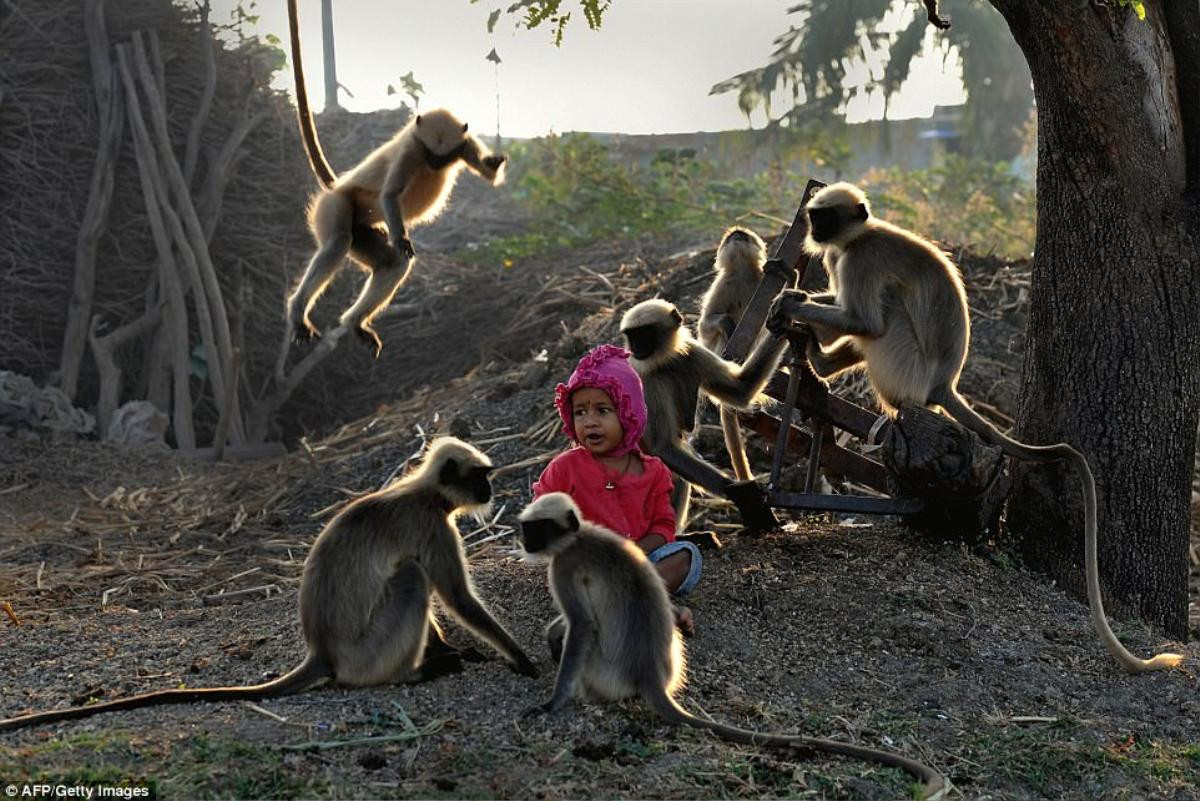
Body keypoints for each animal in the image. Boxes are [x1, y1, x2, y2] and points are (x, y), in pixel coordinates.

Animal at [0, 438, 537, 733]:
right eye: (481, 477)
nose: (490, 490)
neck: (424, 491)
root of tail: (322, 650)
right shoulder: (433, 527)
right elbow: (457, 598)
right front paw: (521, 658)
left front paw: (452, 647)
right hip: (366, 652)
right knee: (411, 577)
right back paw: (413, 673)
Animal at [285, 0, 506, 357]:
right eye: (430, 154)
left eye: (442, 157)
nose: (435, 163)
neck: (430, 152)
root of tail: (335, 185)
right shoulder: (412, 149)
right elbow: (390, 195)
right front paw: (402, 237)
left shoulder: (462, 144)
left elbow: (488, 174)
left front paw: (494, 164)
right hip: (336, 204)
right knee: (337, 242)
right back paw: (297, 313)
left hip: (365, 228)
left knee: (391, 265)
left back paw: (354, 324)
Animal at [516, 494, 945, 801]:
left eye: (537, 529)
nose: (523, 540)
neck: (579, 536)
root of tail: (650, 674)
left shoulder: (563, 565)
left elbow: (582, 626)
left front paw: (552, 701)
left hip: (599, 671)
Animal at [619, 298, 787, 532]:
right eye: (632, 336)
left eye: (643, 334)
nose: (635, 348)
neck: (665, 361)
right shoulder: (646, 377)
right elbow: (662, 447)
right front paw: (744, 495)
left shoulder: (692, 352)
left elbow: (742, 389)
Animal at [768, 181, 1180, 676]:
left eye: (825, 217)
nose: (814, 228)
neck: (859, 236)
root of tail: (943, 384)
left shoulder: (858, 261)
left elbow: (862, 320)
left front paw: (792, 302)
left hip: (904, 364)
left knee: (884, 319)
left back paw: (825, 361)